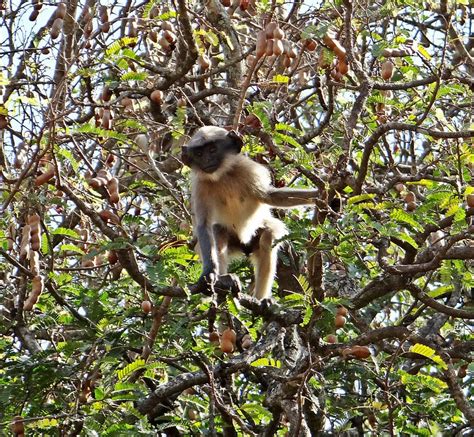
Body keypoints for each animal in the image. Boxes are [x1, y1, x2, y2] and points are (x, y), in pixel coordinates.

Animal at [181, 124, 318, 298]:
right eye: (199, 154)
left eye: (212, 150)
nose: (207, 160)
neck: (222, 176)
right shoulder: (201, 185)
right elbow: (204, 225)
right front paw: (209, 274)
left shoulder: (248, 170)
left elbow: (271, 196)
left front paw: (325, 196)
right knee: (217, 231)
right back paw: (224, 280)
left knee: (267, 237)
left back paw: (261, 299)